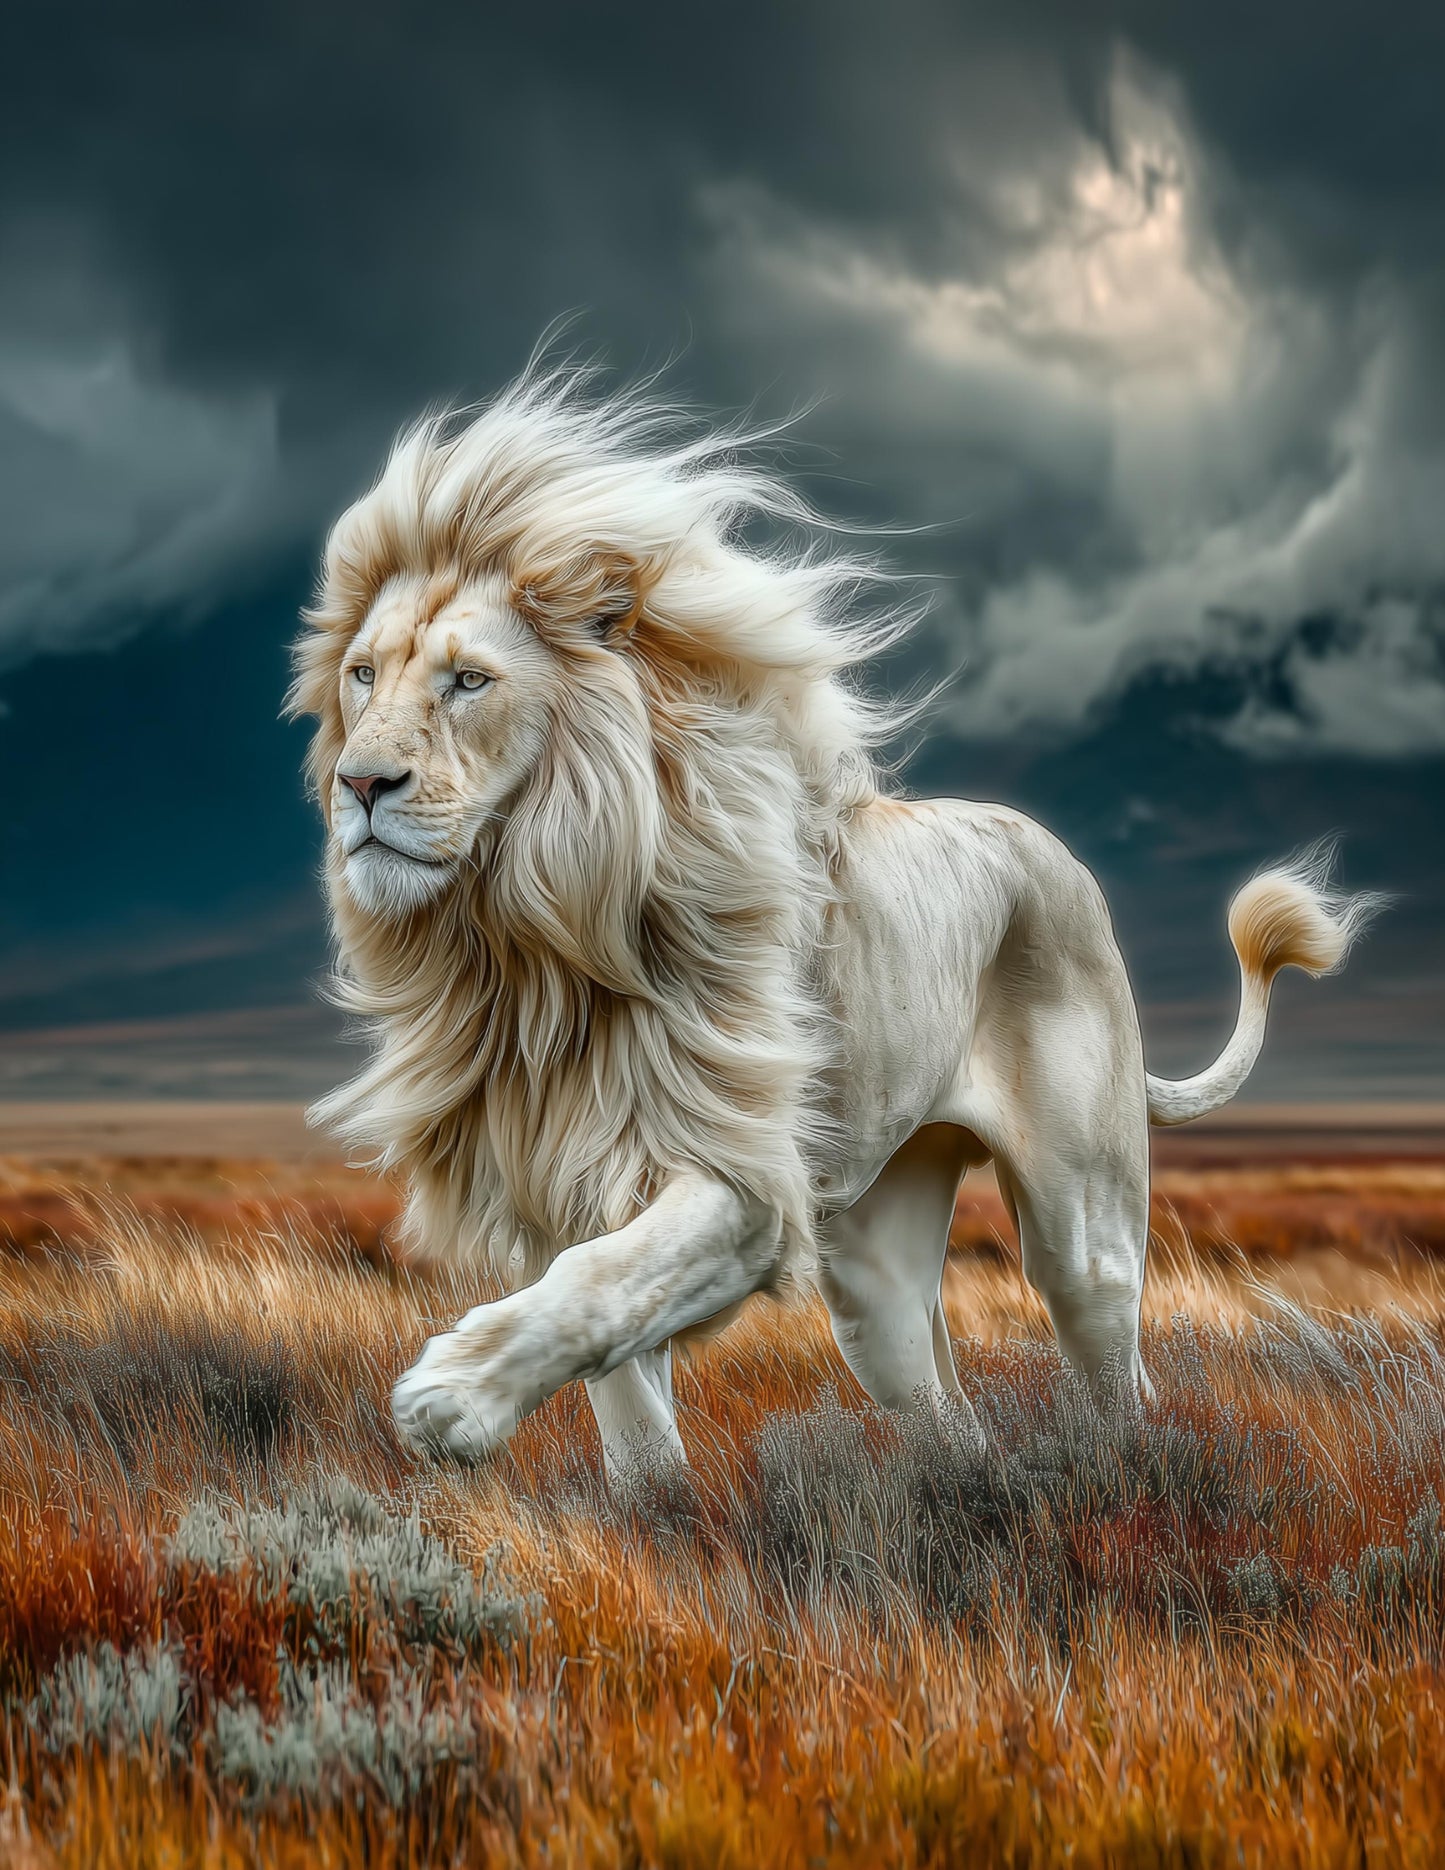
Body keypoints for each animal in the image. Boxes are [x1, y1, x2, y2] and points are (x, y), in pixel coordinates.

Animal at [289, 362, 1378, 1480]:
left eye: (470, 681)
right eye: (364, 673)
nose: (360, 784)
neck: (528, 945)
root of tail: (1054, 850)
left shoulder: (746, 1183)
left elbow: (605, 1281)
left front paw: (452, 1395)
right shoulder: (565, 1190)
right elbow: (623, 1386)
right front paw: (646, 1499)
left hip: (1084, 1230)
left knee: (1122, 1381)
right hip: (877, 1280)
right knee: (945, 1410)